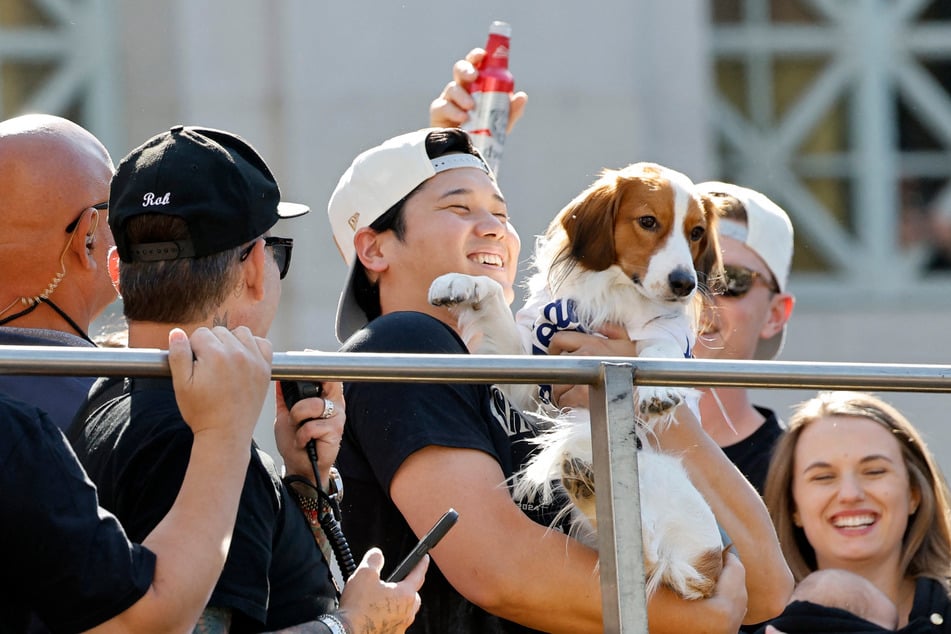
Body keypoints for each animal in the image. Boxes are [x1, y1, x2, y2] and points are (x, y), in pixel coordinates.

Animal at [432, 162, 728, 596]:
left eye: (696, 232)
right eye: (648, 221)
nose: (685, 284)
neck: (614, 292)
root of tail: (707, 568)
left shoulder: (665, 335)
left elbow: (660, 348)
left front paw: (659, 389)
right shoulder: (530, 376)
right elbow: (490, 294)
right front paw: (459, 282)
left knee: (642, 553)